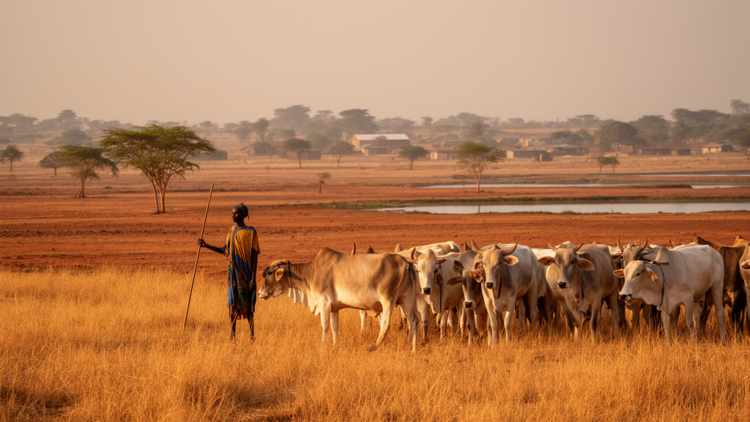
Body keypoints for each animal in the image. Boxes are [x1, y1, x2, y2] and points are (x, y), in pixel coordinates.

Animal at [258, 248, 419, 351]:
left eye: (270, 273)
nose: (260, 293)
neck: (312, 272)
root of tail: (406, 262)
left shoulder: (324, 303)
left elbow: (325, 326)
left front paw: (322, 347)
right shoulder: (334, 308)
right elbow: (334, 327)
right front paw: (335, 347)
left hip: (388, 300)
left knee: (385, 325)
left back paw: (375, 346)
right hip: (406, 299)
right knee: (413, 321)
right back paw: (412, 348)